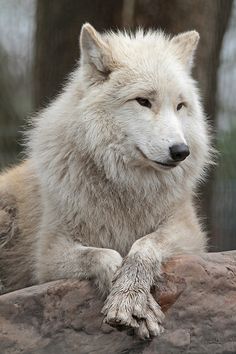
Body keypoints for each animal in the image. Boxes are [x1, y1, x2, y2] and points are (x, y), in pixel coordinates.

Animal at [0, 23, 210, 338]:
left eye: (180, 106)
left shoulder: (189, 234)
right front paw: (133, 304)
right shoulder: (48, 255)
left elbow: (143, 247)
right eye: (143, 101)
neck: (126, 185)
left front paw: (130, 296)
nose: (180, 151)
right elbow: (106, 256)